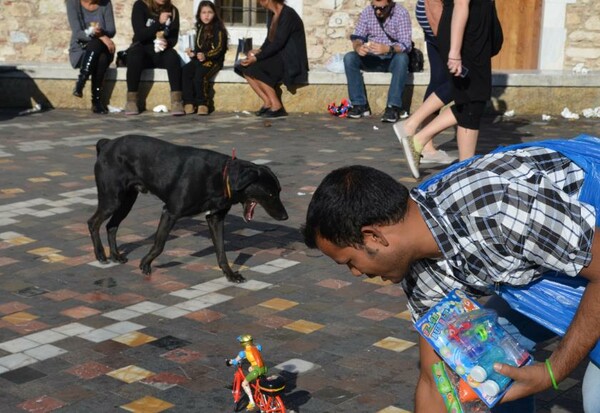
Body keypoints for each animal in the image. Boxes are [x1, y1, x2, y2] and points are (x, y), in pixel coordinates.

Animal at [86, 134, 288, 282]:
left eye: (279, 191)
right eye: (271, 194)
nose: (286, 216)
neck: (222, 177)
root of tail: (106, 144)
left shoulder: (215, 218)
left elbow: (221, 251)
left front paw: (230, 274)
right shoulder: (170, 212)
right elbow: (159, 244)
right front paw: (145, 263)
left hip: (126, 201)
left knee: (111, 225)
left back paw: (115, 255)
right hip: (112, 199)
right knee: (93, 222)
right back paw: (100, 255)